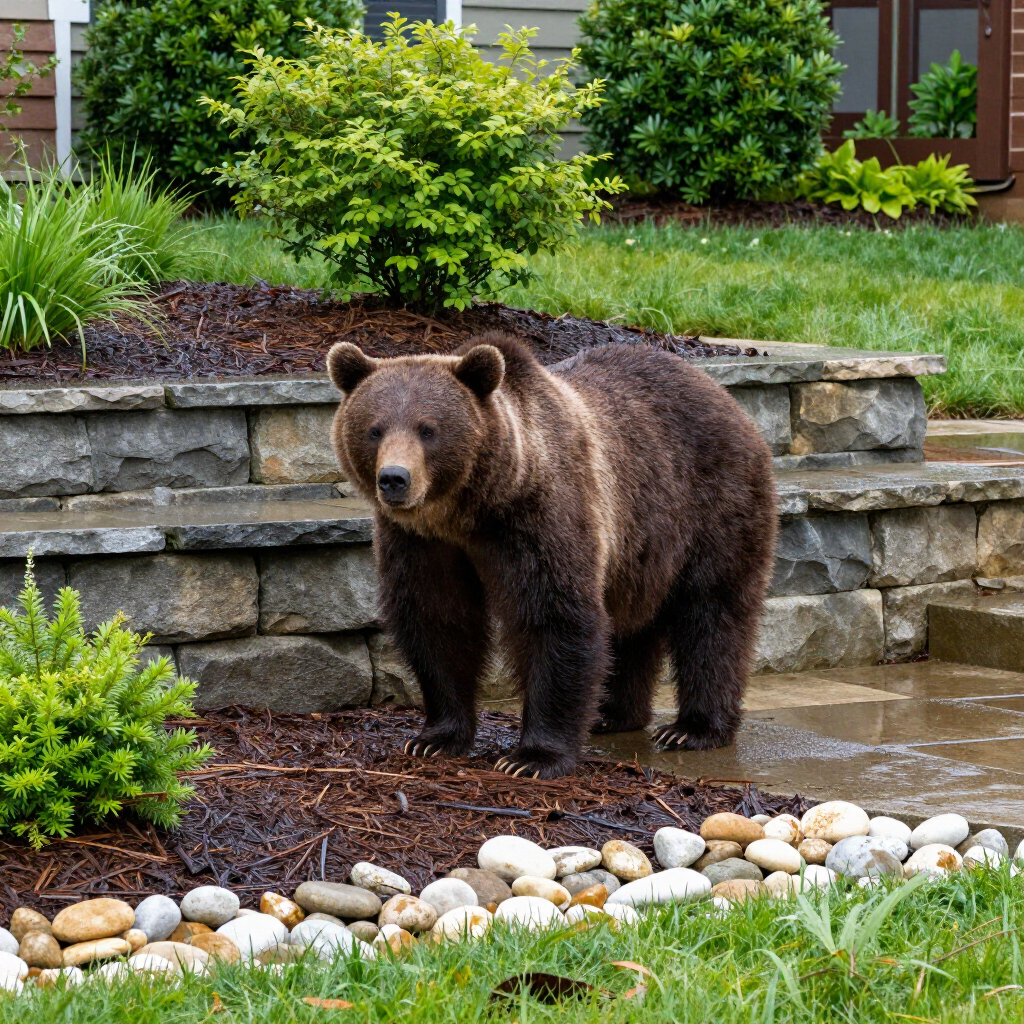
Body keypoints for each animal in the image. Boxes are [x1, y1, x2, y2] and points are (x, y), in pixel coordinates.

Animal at [327, 331, 777, 779]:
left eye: (428, 429)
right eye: (374, 429)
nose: (394, 479)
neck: (469, 512)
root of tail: (724, 396)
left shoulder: (541, 516)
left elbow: (554, 616)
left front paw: (532, 757)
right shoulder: (420, 541)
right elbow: (436, 619)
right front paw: (433, 738)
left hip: (711, 503)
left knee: (712, 609)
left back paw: (692, 728)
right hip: (641, 546)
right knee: (633, 624)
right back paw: (613, 714)